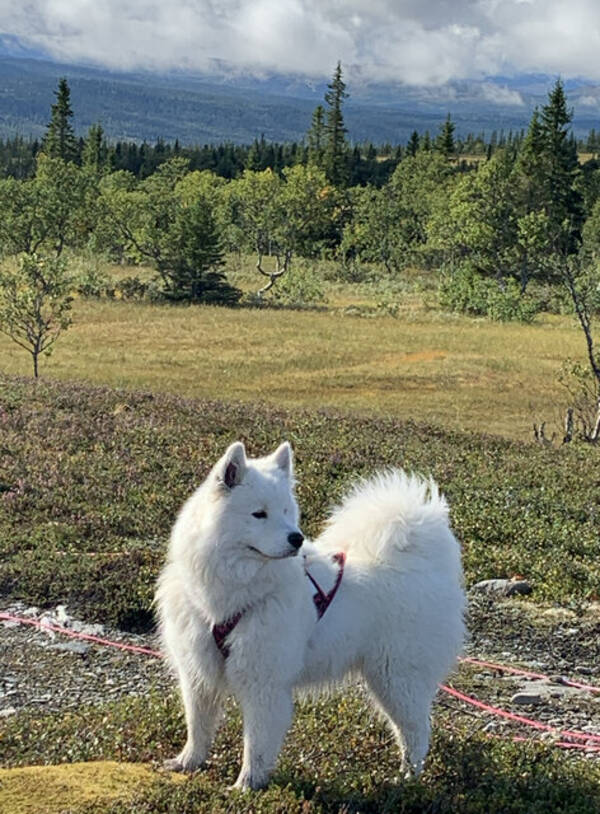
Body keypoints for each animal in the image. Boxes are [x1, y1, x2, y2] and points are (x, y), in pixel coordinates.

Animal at [155, 444, 464, 792]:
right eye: (259, 514)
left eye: (286, 511)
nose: (297, 538)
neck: (230, 593)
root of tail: (426, 563)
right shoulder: (197, 673)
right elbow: (198, 726)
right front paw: (188, 762)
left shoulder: (264, 682)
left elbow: (256, 744)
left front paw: (247, 785)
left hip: (397, 677)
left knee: (417, 730)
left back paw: (408, 779)